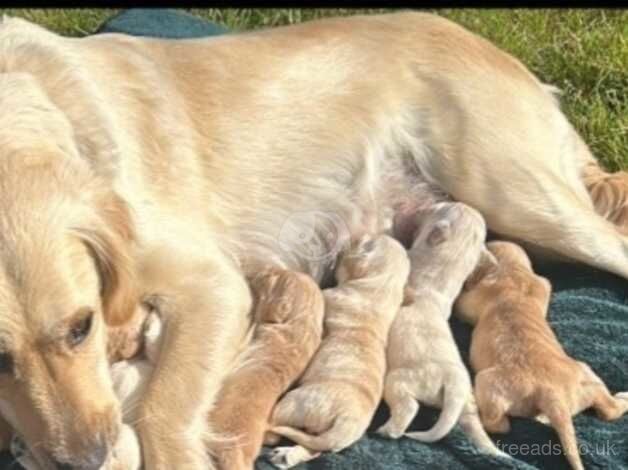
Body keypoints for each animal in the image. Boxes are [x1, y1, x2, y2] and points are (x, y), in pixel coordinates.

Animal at [268, 233, 410, 468]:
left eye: (364, 241)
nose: (351, 238)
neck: (383, 287)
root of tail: (346, 424)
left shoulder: (330, 295)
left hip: (293, 404)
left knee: (273, 429)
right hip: (318, 435)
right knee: (313, 448)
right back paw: (286, 456)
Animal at [376, 201, 502, 456]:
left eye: (439, 207)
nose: (423, 205)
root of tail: (453, 387)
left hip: (399, 381)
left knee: (407, 407)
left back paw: (388, 430)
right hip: (468, 403)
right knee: (472, 424)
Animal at [454, 242, 628, 470]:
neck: (513, 271)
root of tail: (552, 394)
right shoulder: (542, 284)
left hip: (487, 381)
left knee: (499, 425)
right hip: (586, 377)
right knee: (609, 410)